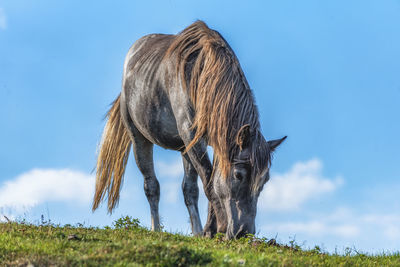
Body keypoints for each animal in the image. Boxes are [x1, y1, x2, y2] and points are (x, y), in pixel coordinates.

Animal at [92, 19, 286, 240]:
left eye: (265, 180)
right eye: (239, 175)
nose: (243, 233)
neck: (203, 77)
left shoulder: (215, 143)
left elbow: (208, 182)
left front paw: (209, 231)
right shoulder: (191, 135)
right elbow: (210, 182)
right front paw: (217, 227)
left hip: (184, 148)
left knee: (189, 190)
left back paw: (197, 230)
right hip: (140, 138)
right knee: (152, 186)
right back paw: (156, 228)